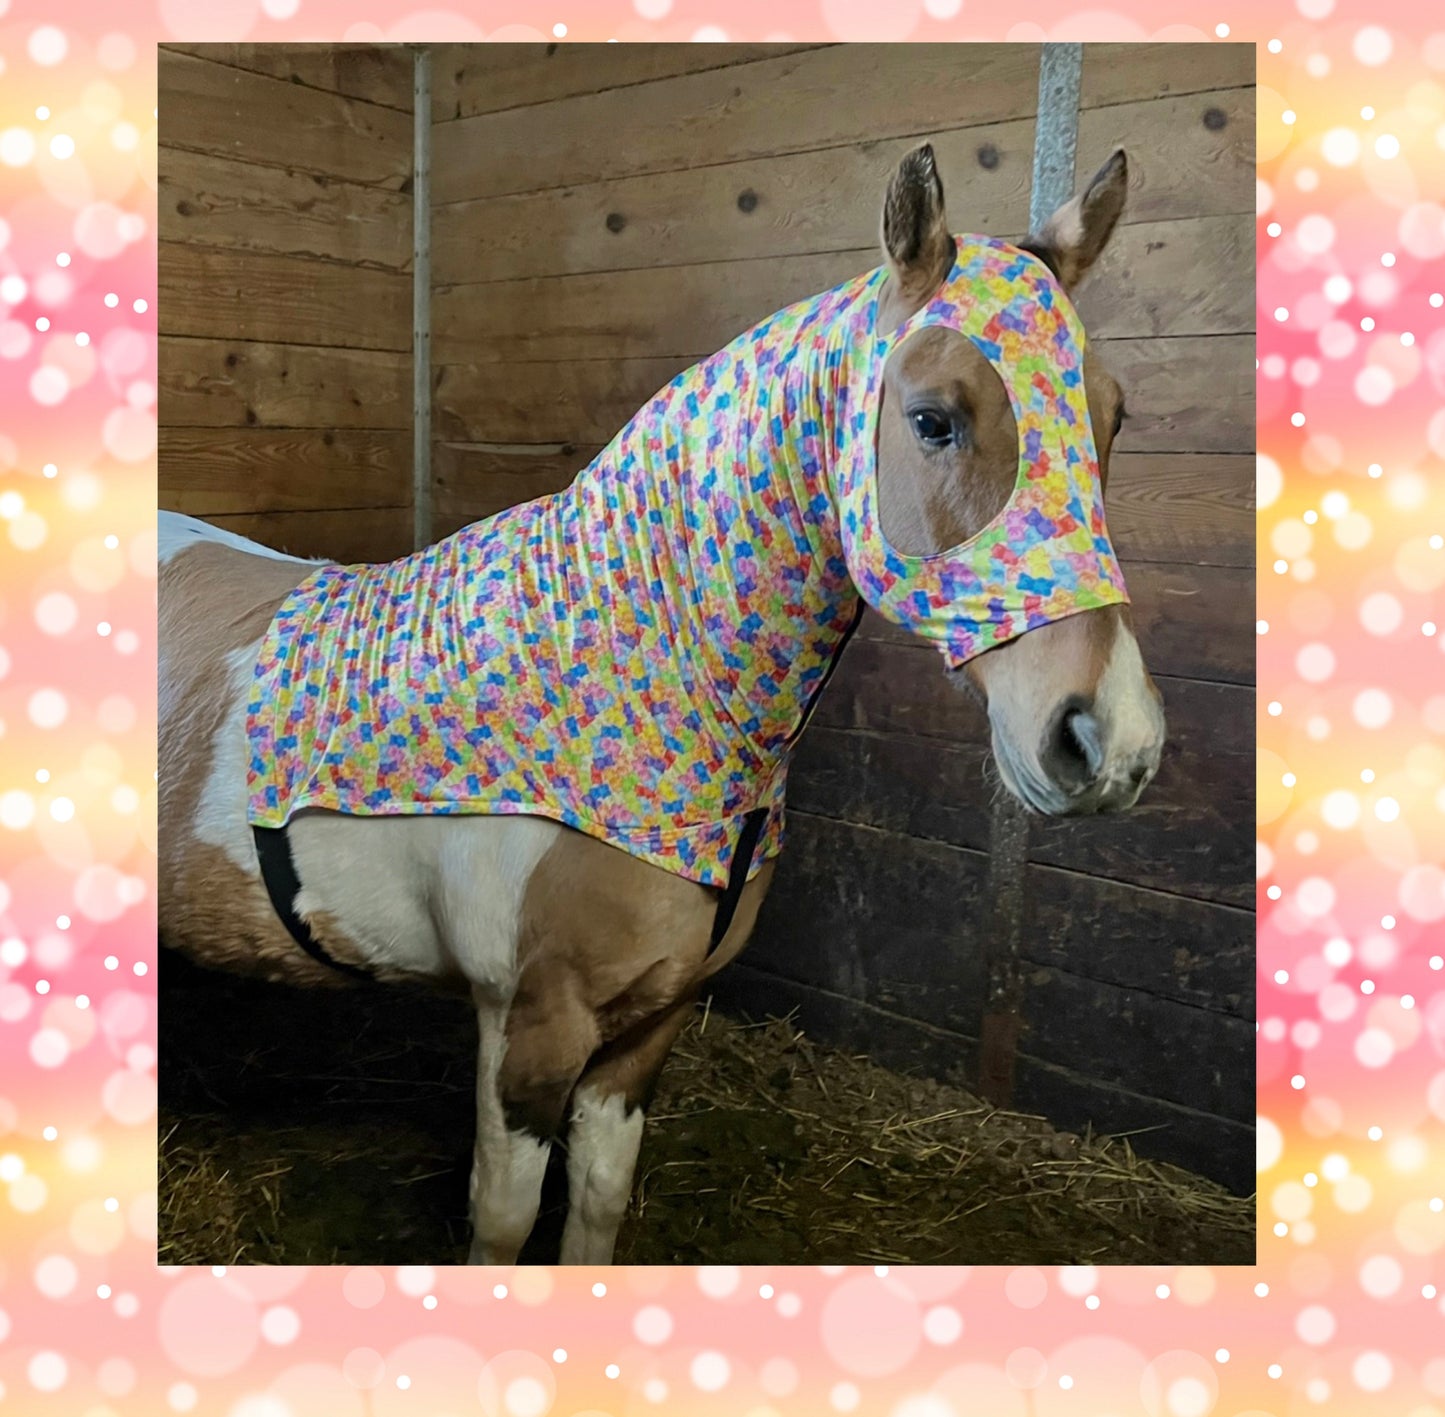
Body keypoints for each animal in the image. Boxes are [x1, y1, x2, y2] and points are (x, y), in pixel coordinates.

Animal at [158, 144, 1165, 1265]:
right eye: (932, 419)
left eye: (1113, 415)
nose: (1111, 743)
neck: (614, 673)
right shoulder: (530, 1024)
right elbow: (504, 1222)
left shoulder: (653, 1024)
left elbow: (598, 1198)